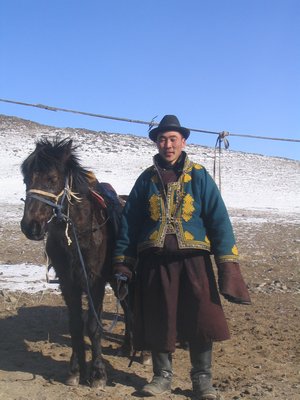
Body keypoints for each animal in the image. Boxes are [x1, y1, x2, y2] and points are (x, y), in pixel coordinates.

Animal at [19, 138, 130, 388]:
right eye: (26, 179)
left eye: (52, 178)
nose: (30, 226)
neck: (77, 233)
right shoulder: (67, 283)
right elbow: (76, 326)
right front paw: (75, 370)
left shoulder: (94, 282)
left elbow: (94, 326)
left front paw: (98, 374)